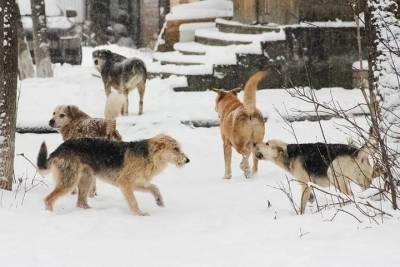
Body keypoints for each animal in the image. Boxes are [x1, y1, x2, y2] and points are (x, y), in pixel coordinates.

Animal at [36, 135, 190, 217]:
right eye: (175, 149)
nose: (188, 160)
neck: (149, 156)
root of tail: (59, 148)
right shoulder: (125, 183)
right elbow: (134, 201)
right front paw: (139, 215)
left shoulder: (137, 183)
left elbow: (155, 187)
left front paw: (159, 200)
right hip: (69, 182)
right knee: (48, 199)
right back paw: (50, 215)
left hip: (87, 180)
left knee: (81, 202)